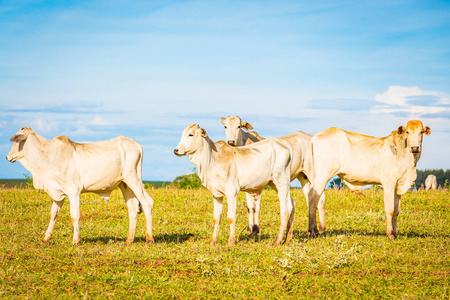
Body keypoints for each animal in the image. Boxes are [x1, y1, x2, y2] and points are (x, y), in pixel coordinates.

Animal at [6, 127, 154, 245]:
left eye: (17, 140)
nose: (8, 157)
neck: (48, 156)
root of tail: (136, 144)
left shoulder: (73, 191)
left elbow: (74, 215)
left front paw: (76, 240)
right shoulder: (58, 193)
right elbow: (53, 214)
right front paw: (46, 238)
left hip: (133, 179)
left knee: (147, 203)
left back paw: (149, 238)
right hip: (125, 185)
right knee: (133, 208)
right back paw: (129, 240)